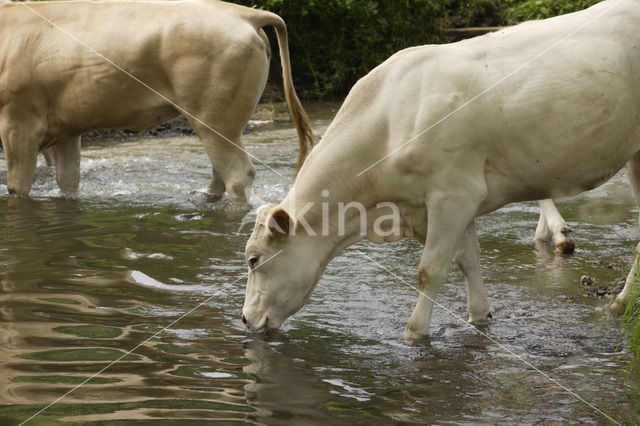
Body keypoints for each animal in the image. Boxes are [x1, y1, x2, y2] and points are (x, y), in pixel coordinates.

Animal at [0, 0, 312, 200]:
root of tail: (243, 13)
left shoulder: (17, 124)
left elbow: (18, 187)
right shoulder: (66, 129)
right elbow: (68, 182)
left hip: (214, 119)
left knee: (238, 176)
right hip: (223, 123)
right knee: (220, 173)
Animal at [242, 0, 636, 340]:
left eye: (253, 259)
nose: (244, 318)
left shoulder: (454, 194)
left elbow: (429, 270)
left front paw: (414, 334)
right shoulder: (449, 203)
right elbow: (468, 261)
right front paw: (479, 318)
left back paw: (618, 305)